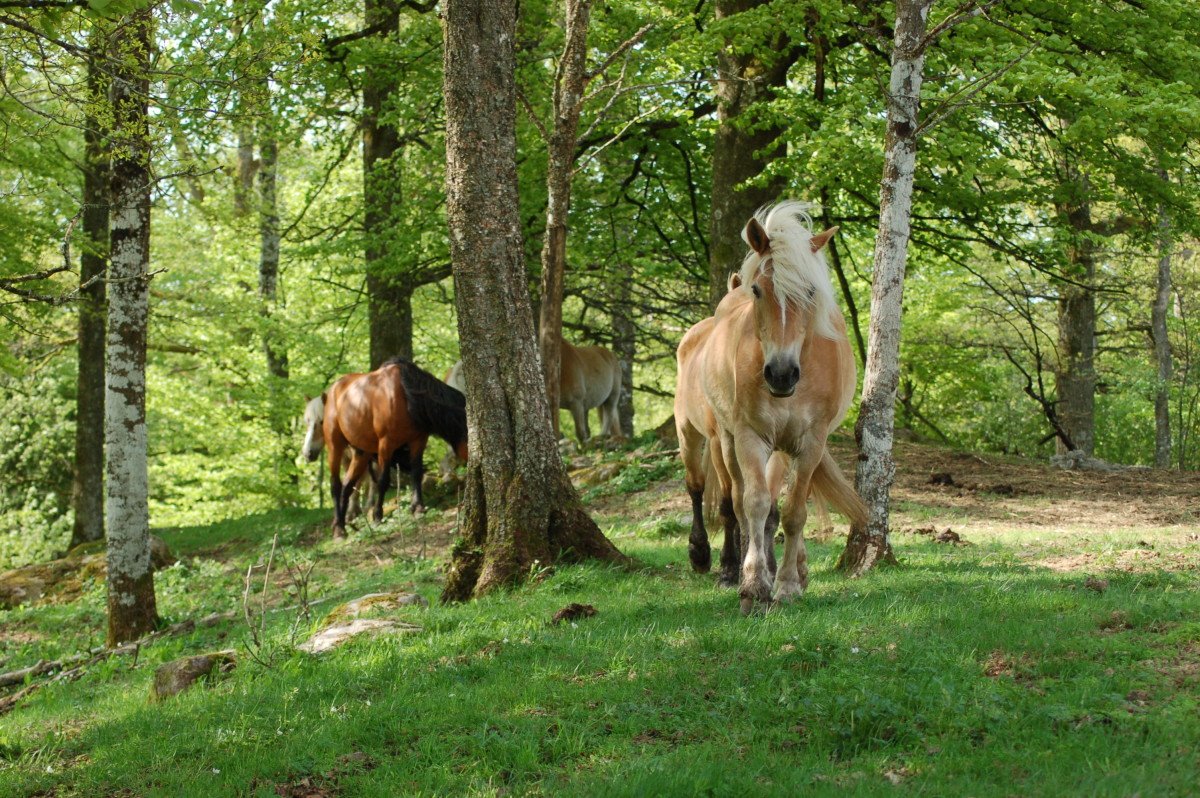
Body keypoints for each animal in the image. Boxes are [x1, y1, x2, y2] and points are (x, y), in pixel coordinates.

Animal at [324, 358, 469, 538]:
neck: (406, 394)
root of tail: (333, 389)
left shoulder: (418, 440)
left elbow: (416, 473)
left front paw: (418, 508)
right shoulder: (386, 444)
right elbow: (383, 480)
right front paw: (377, 515)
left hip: (361, 452)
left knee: (347, 485)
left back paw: (343, 526)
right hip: (334, 446)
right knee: (335, 484)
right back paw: (338, 529)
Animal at [446, 336, 622, 446]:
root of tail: (610, 354)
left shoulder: (576, 403)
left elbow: (580, 432)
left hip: (613, 396)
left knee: (609, 413)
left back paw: (603, 436)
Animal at [674, 201, 867, 613]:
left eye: (810, 291)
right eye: (758, 290)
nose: (781, 374)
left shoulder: (809, 442)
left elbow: (793, 512)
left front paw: (789, 583)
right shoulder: (749, 436)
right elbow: (754, 503)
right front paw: (753, 584)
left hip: (778, 447)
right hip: (703, 436)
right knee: (710, 492)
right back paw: (710, 558)